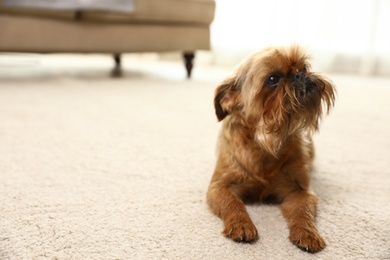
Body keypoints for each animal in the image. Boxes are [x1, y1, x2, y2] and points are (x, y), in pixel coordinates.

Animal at [207, 45, 336, 253]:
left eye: (304, 67)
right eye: (273, 79)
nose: (299, 75)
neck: (266, 142)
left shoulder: (300, 191)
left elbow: (303, 212)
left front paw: (308, 233)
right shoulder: (218, 187)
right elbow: (232, 202)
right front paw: (241, 224)